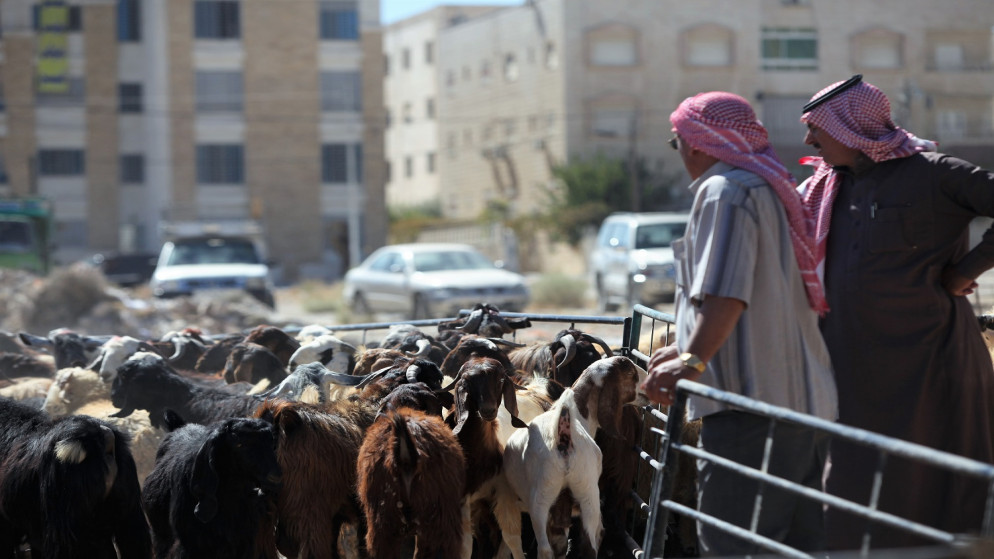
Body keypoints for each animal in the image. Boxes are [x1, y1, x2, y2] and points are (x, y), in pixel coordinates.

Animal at [496, 358, 644, 559]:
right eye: (631, 374)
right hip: (581, 495)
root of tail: (563, 435)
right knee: (586, 543)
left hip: (553, 497)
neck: (578, 414)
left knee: (553, 547)